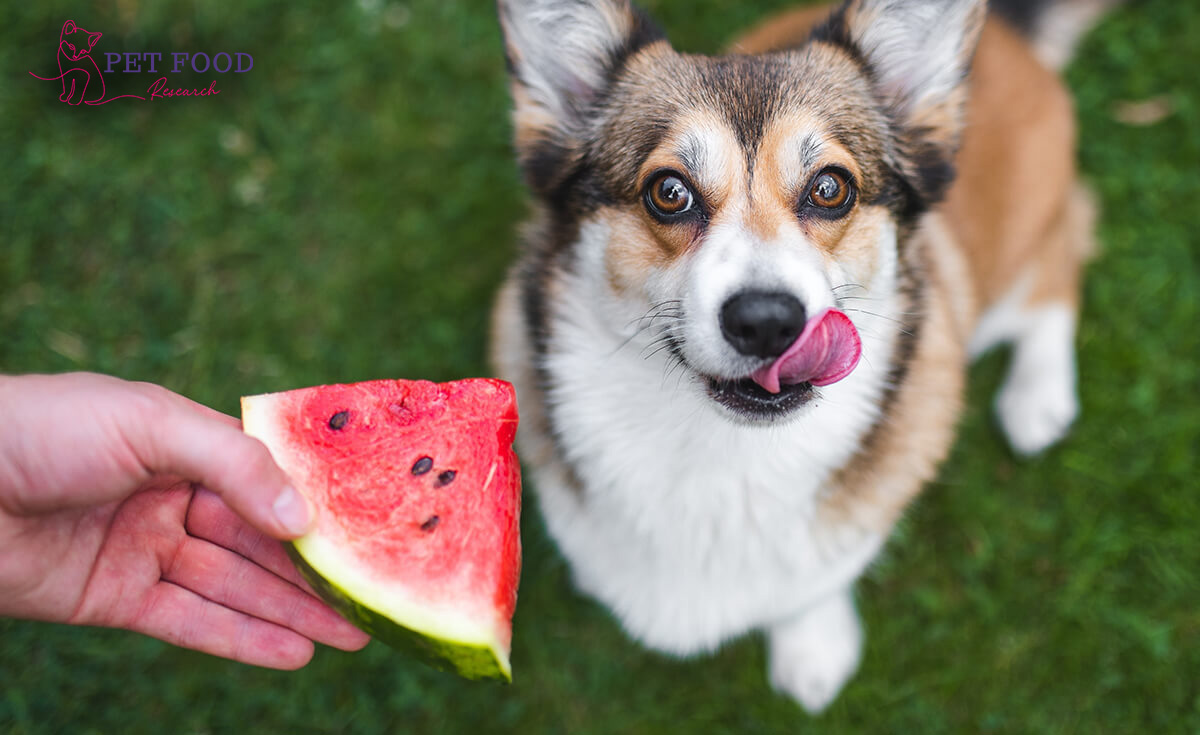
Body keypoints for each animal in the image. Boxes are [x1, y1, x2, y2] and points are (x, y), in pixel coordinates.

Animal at [492, 0, 1108, 715]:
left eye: (831, 188)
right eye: (668, 192)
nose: (766, 322)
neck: (717, 454)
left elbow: (811, 587)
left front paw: (812, 651)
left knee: (1063, 256)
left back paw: (1038, 397)